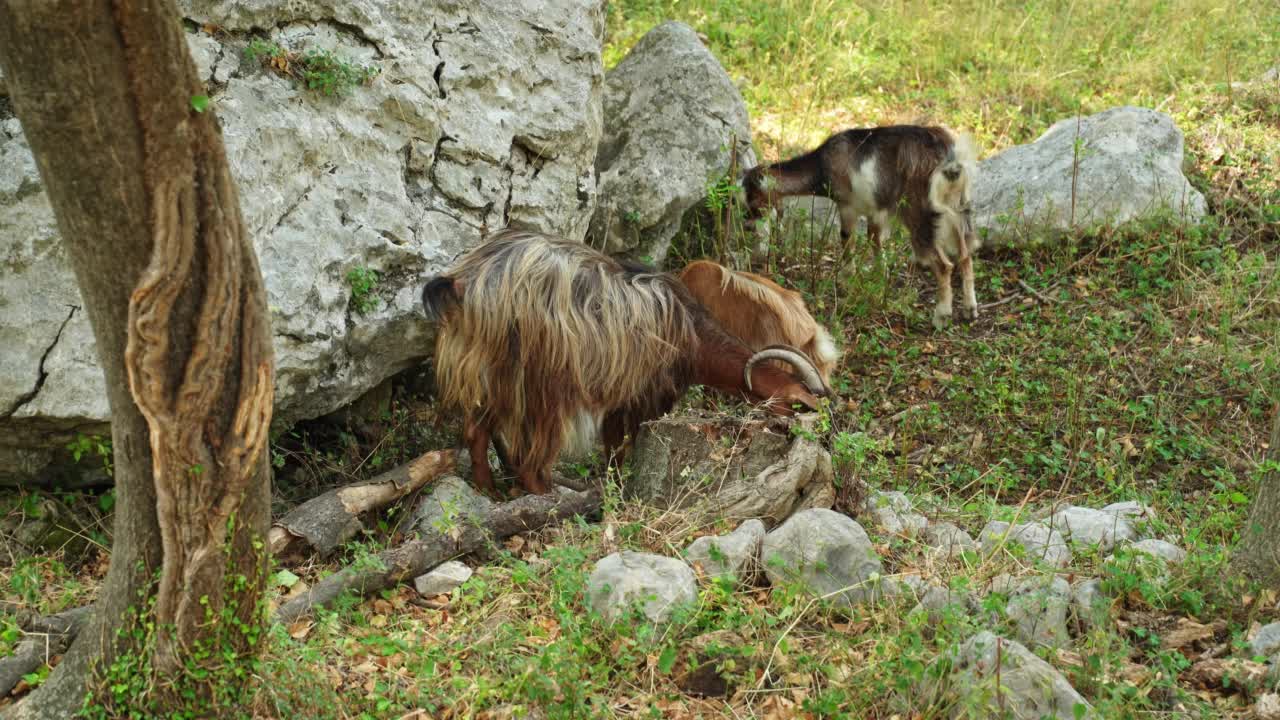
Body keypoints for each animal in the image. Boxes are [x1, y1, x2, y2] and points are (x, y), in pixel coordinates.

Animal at [414, 229, 824, 491]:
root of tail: (466, 283)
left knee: (477, 431)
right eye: (799, 404)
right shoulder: (642, 393)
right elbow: (620, 444)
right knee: (530, 451)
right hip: (538, 379)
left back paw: (490, 492)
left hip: (487, 368)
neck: (692, 333)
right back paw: (541, 495)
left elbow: (613, 446)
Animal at [742, 127, 977, 330]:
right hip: (956, 208)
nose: (747, 225)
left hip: (919, 213)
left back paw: (941, 317)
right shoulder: (875, 211)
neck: (822, 166)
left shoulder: (847, 206)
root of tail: (950, 160)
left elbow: (847, 238)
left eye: (752, 196)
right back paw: (970, 310)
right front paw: (879, 276)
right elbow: (875, 239)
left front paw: (847, 278)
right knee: (965, 255)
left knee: (944, 265)